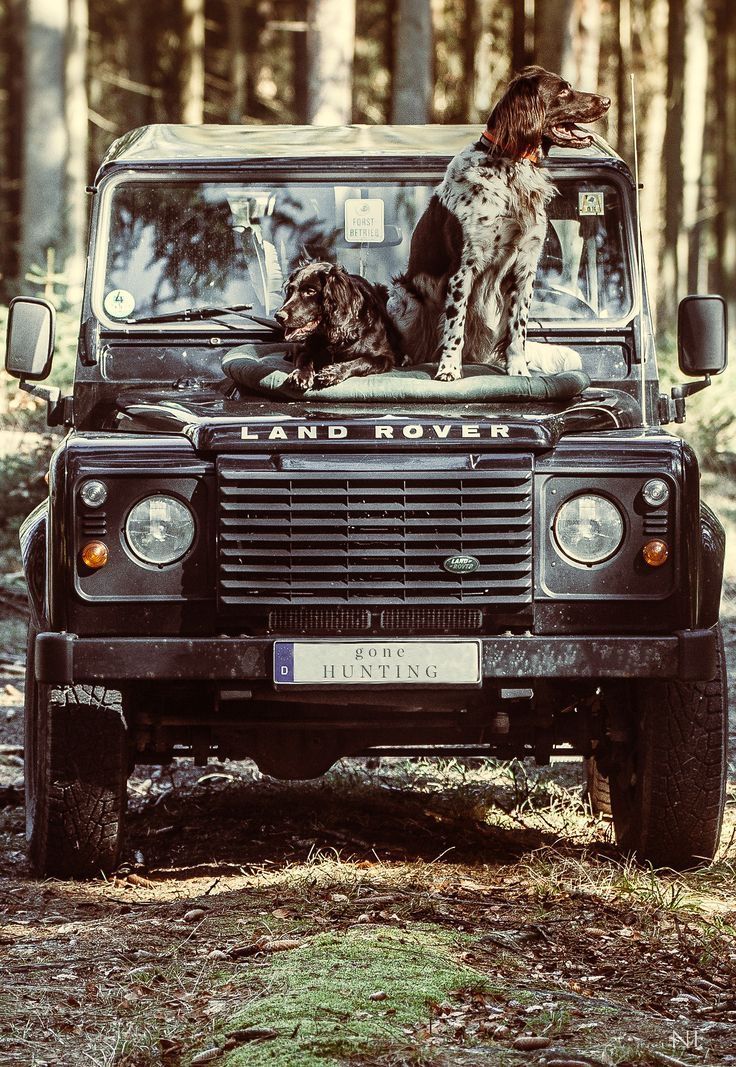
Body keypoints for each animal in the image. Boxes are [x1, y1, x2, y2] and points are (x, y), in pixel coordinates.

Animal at [390, 63, 605, 379]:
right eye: (563, 90)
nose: (608, 101)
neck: (511, 168)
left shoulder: (524, 265)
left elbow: (518, 327)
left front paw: (518, 368)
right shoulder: (463, 268)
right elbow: (455, 325)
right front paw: (449, 368)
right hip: (404, 296)